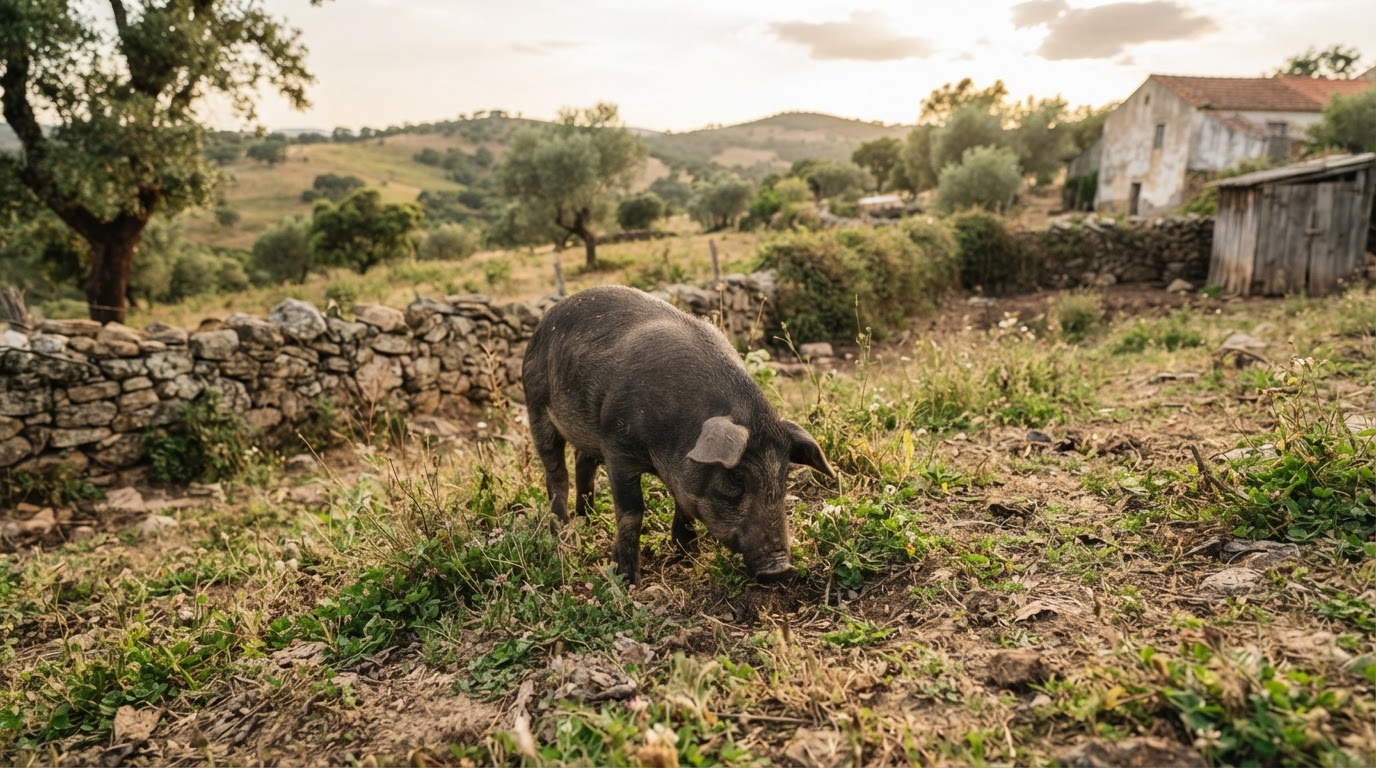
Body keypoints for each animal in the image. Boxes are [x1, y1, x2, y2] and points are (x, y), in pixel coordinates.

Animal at [522, 285, 834, 585]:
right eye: (736, 476)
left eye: (784, 474)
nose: (780, 568)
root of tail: (545, 319)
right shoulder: (617, 445)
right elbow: (632, 511)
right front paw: (628, 580)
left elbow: (682, 503)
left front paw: (688, 554)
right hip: (536, 406)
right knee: (556, 473)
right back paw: (561, 533)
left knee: (582, 463)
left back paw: (587, 518)